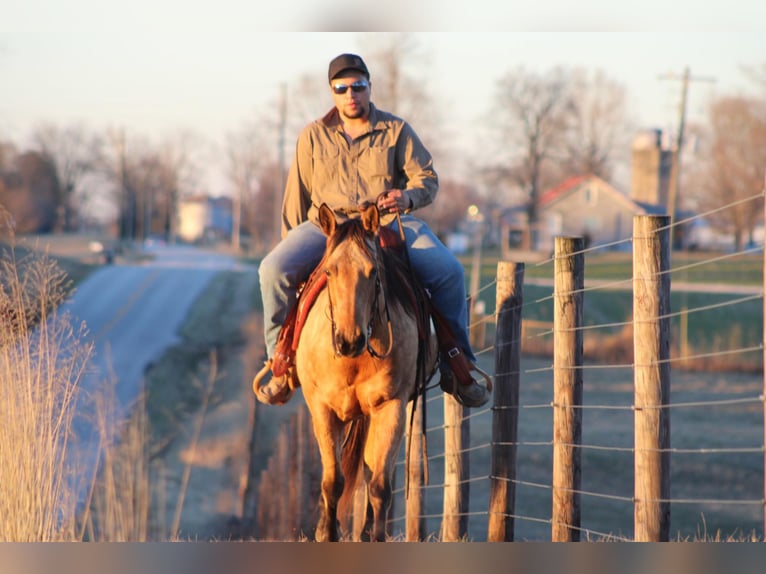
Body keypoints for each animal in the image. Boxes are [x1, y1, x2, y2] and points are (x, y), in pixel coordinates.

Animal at [296, 202, 438, 544]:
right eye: (329, 271)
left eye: (373, 272)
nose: (349, 340)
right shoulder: (322, 409)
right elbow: (333, 480)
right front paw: (327, 533)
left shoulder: (391, 408)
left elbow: (379, 487)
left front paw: (375, 537)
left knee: (371, 473)